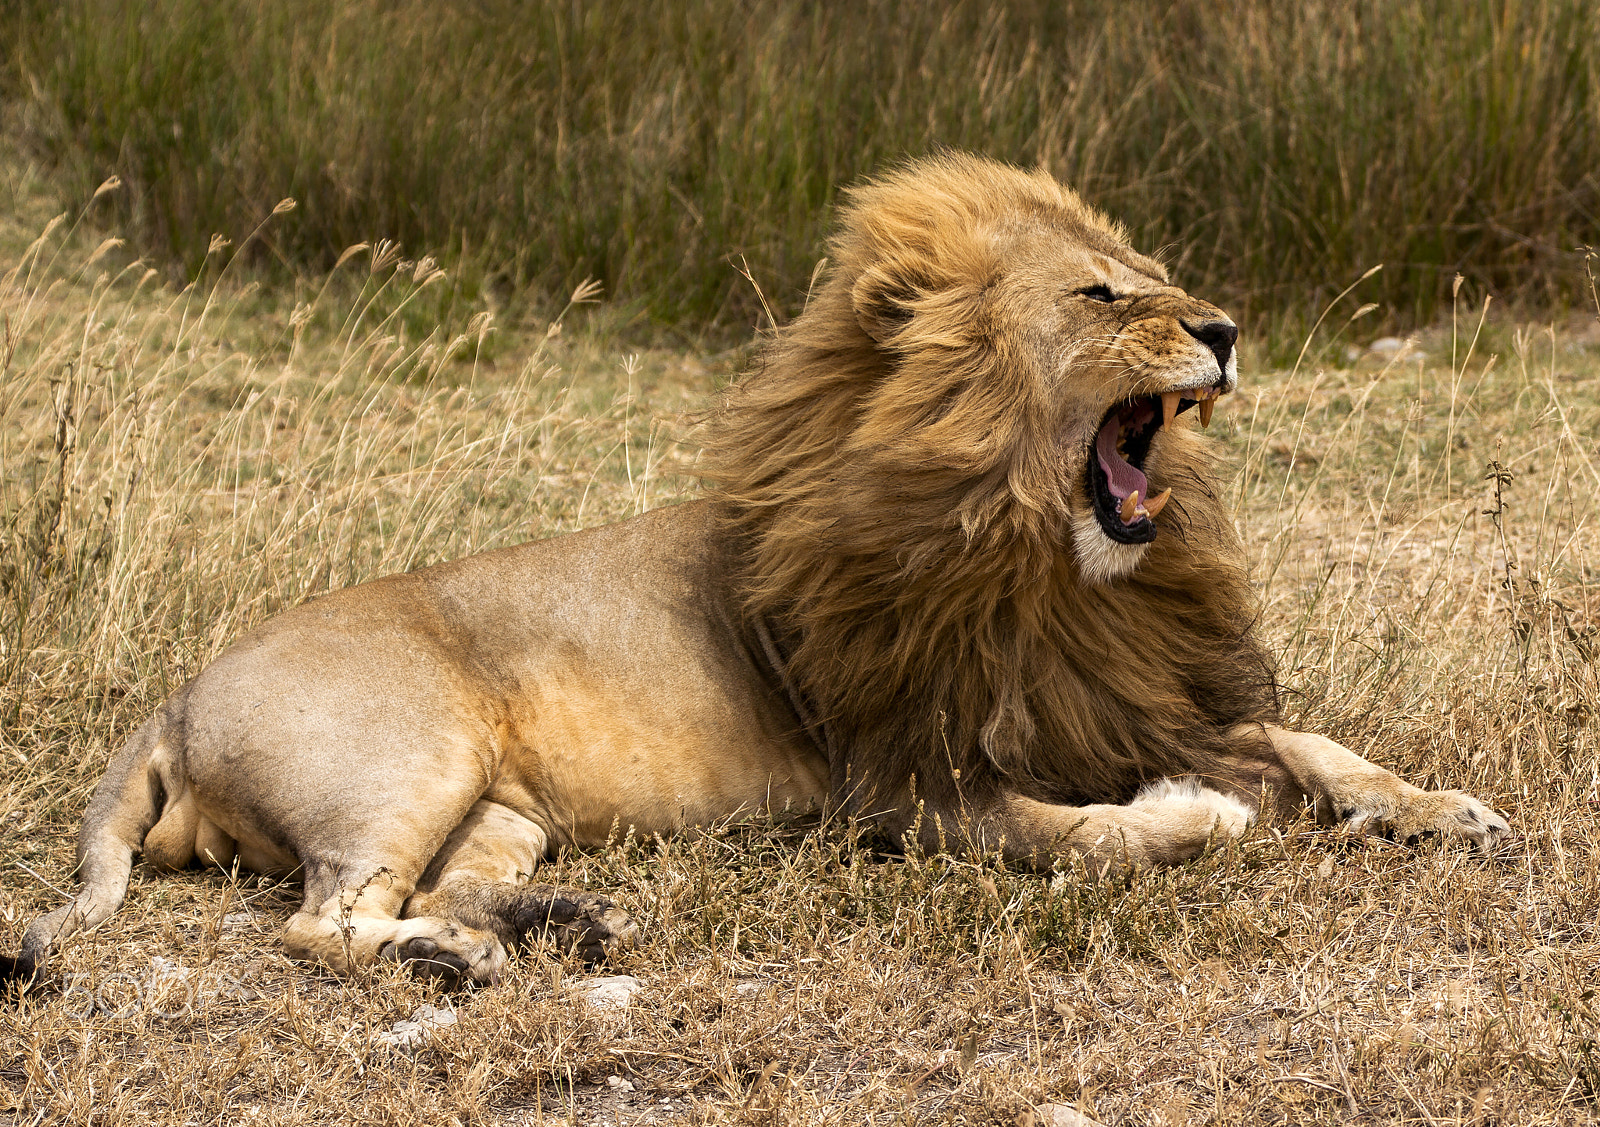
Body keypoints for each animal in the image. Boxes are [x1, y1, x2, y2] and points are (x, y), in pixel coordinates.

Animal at [9, 152, 1510, 986]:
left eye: (1151, 272)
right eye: (1101, 294)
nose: (1226, 328)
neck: (1040, 560)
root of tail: (171, 702)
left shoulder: (1124, 688)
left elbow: (1314, 741)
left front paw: (1445, 807)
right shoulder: (901, 785)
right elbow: (1090, 835)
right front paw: (1197, 815)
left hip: (498, 803)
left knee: (427, 887)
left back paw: (554, 920)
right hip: (406, 754)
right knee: (319, 923)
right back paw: (466, 958)